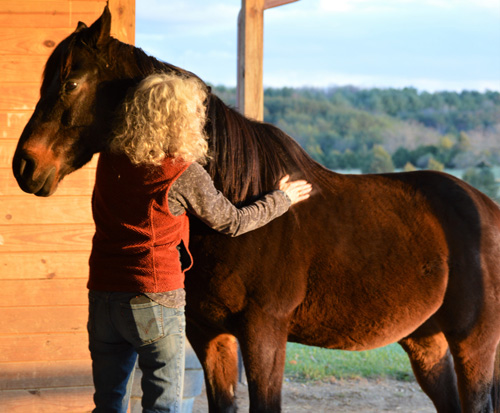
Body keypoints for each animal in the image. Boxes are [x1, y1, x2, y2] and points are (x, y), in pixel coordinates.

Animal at [10, 7, 500, 412]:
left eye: (71, 83)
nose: (25, 165)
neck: (237, 200)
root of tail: (487, 208)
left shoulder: (265, 331)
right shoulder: (209, 334)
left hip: (474, 340)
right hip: (425, 340)